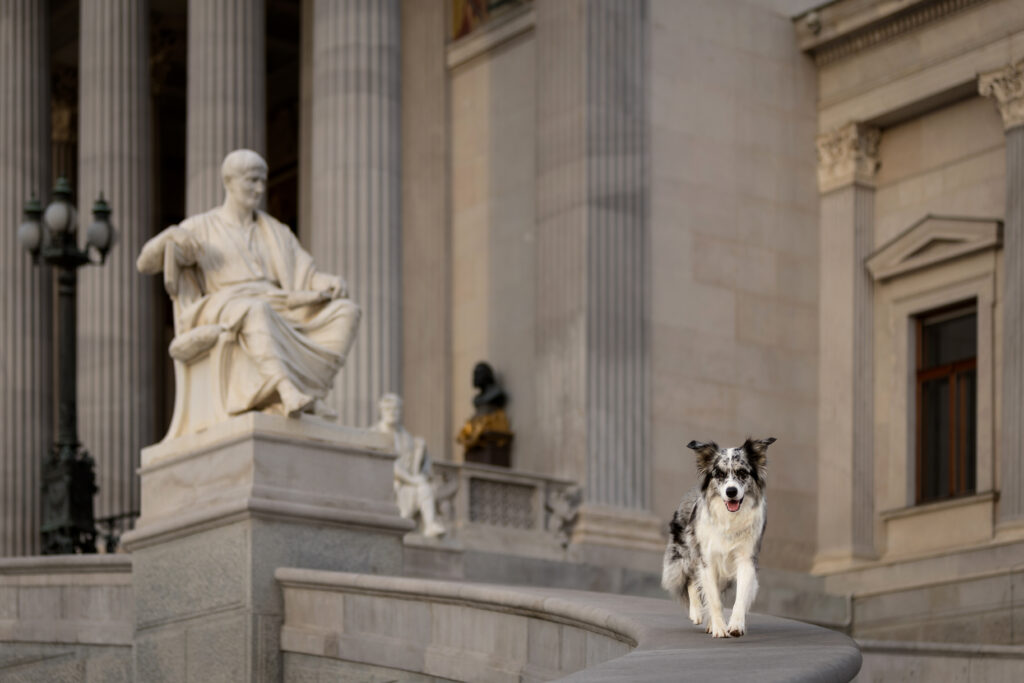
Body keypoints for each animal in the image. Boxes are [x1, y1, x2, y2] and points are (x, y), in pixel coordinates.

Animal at [663, 440, 774, 638]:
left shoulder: (746, 559)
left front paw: (736, 625)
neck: (729, 518)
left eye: (742, 472)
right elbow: (713, 598)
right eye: (719, 474)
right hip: (686, 554)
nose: (731, 491)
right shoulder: (707, 560)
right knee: (691, 580)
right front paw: (719, 628)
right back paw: (697, 613)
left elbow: (740, 596)